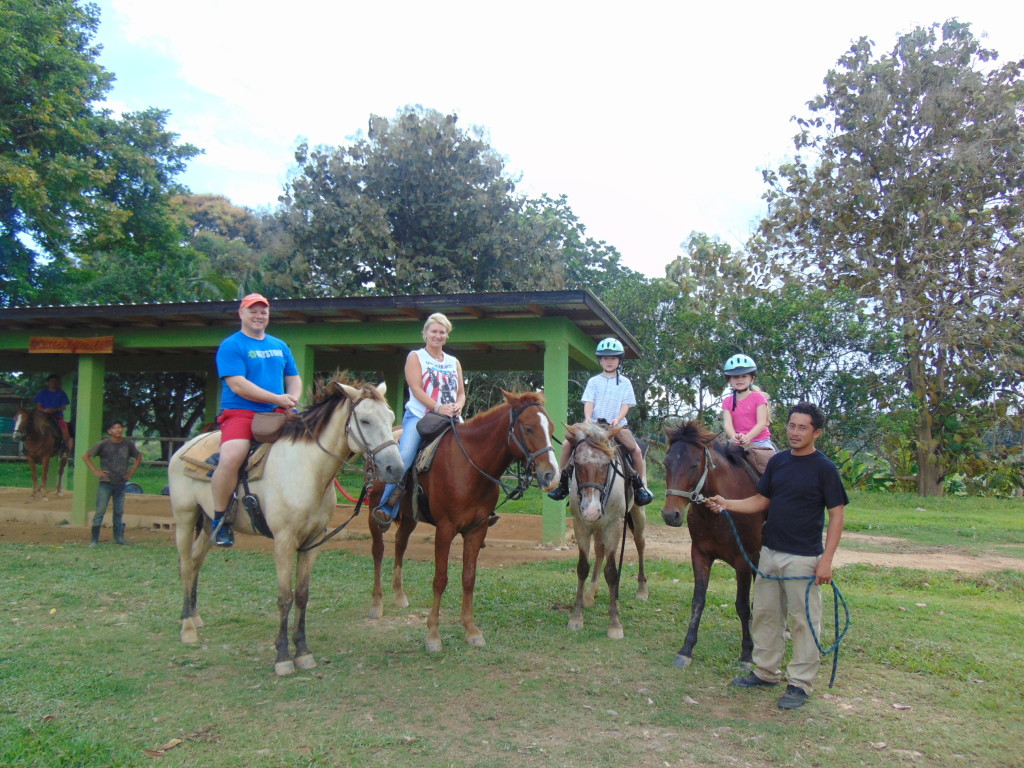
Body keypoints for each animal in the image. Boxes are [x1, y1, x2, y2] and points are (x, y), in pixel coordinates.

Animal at [165, 382, 401, 675]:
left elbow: (302, 595)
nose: (395, 468)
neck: (307, 470)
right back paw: (187, 627)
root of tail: (184, 448)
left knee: (196, 561)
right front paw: (283, 657)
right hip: (185, 517)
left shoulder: (312, 542)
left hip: (210, 525)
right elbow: (284, 597)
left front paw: (303, 652)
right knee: (186, 565)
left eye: (390, 418)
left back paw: (195, 617)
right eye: (366, 420)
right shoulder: (284, 542)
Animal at [368, 393, 561, 651]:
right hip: (374, 512)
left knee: (400, 543)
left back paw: (399, 596)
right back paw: (376, 604)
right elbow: (440, 580)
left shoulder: (476, 529)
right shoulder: (445, 529)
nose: (552, 475)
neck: (469, 466)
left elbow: (469, 578)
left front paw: (471, 630)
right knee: (378, 551)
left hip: (410, 516)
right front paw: (433, 635)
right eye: (528, 428)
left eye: (551, 428)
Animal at [565, 417, 651, 638]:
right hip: (597, 525)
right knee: (599, 550)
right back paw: (591, 593)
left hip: (637, 514)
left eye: (606, 464)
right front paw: (576, 616)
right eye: (577, 463)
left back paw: (642, 590)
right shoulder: (581, 524)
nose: (591, 510)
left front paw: (614, 623)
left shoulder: (613, 526)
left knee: (640, 543)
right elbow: (582, 568)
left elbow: (612, 572)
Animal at [659, 423, 765, 671]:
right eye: (667, 463)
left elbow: (742, 605)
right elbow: (698, 601)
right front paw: (686, 649)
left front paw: (747, 654)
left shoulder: (743, 560)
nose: (670, 515)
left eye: (694, 464)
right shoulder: (700, 555)